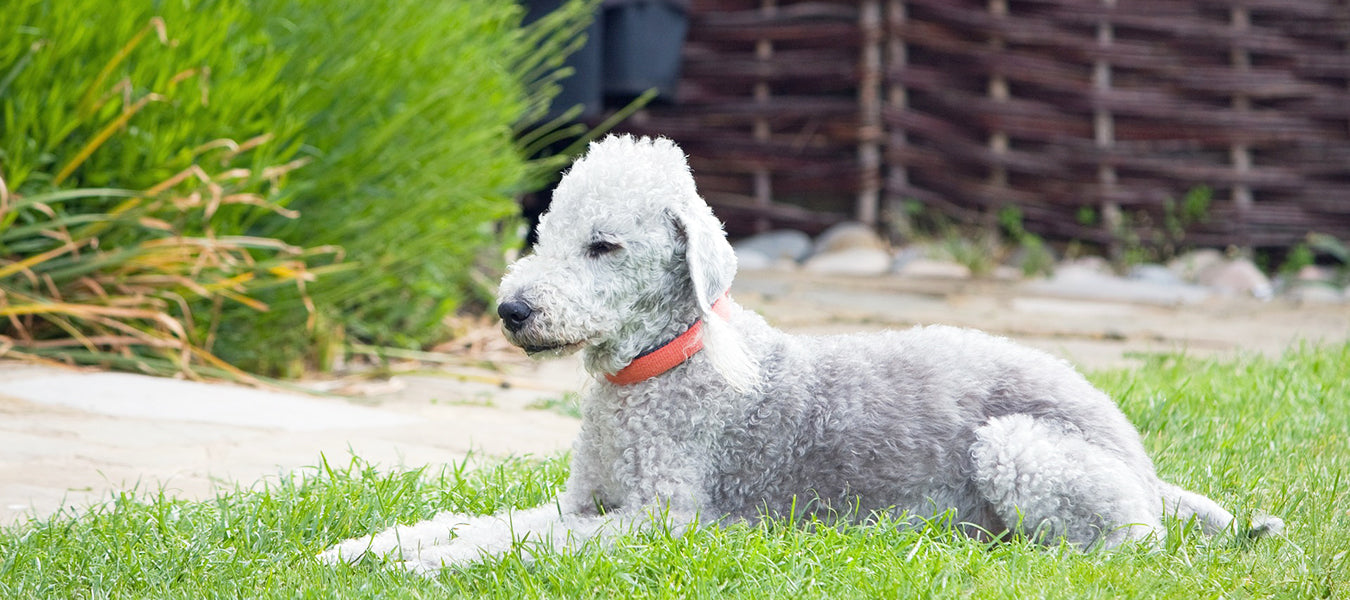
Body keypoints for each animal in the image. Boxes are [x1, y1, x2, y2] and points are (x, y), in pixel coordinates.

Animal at [321, 134, 1279, 572]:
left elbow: (511, 542)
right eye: (544, 232)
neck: (655, 370)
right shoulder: (582, 502)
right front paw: (363, 549)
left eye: (604, 247)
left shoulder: (660, 520)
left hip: (1021, 448)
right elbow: (483, 521)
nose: (511, 310)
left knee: (1129, 543)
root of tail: (1139, 455)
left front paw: (422, 565)